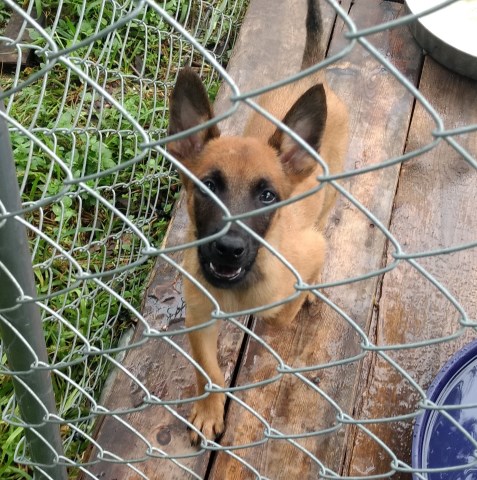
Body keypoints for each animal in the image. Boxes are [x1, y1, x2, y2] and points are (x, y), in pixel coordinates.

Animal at [167, 0, 346, 446]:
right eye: (208, 186)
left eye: (267, 196)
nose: (228, 249)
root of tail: (313, 77)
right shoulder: (199, 317)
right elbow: (207, 371)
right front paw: (209, 411)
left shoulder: (308, 250)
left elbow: (279, 313)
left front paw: (297, 298)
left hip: (331, 192)